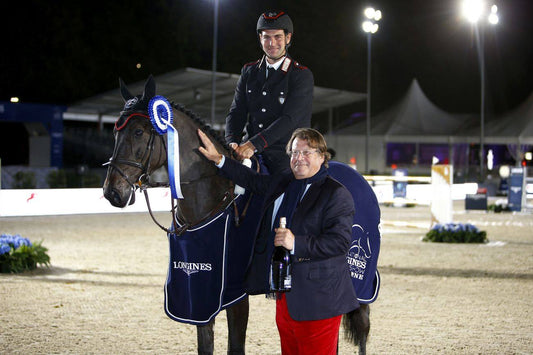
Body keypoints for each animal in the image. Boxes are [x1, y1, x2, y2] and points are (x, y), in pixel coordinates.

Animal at [101, 76, 370, 354]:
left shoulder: (235, 295)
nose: (112, 192)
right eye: (115, 132)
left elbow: (236, 346)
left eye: (139, 132)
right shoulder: (199, 297)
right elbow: (205, 345)